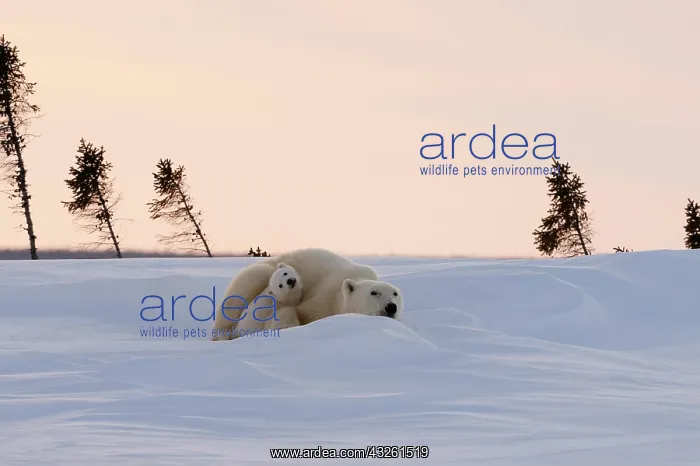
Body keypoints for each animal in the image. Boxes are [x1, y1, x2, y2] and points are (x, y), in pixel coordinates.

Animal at [211, 248, 403, 341]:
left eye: (395, 294)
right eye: (374, 292)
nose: (391, 307)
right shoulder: (325, 296)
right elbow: (298, 310)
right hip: (260, 272)